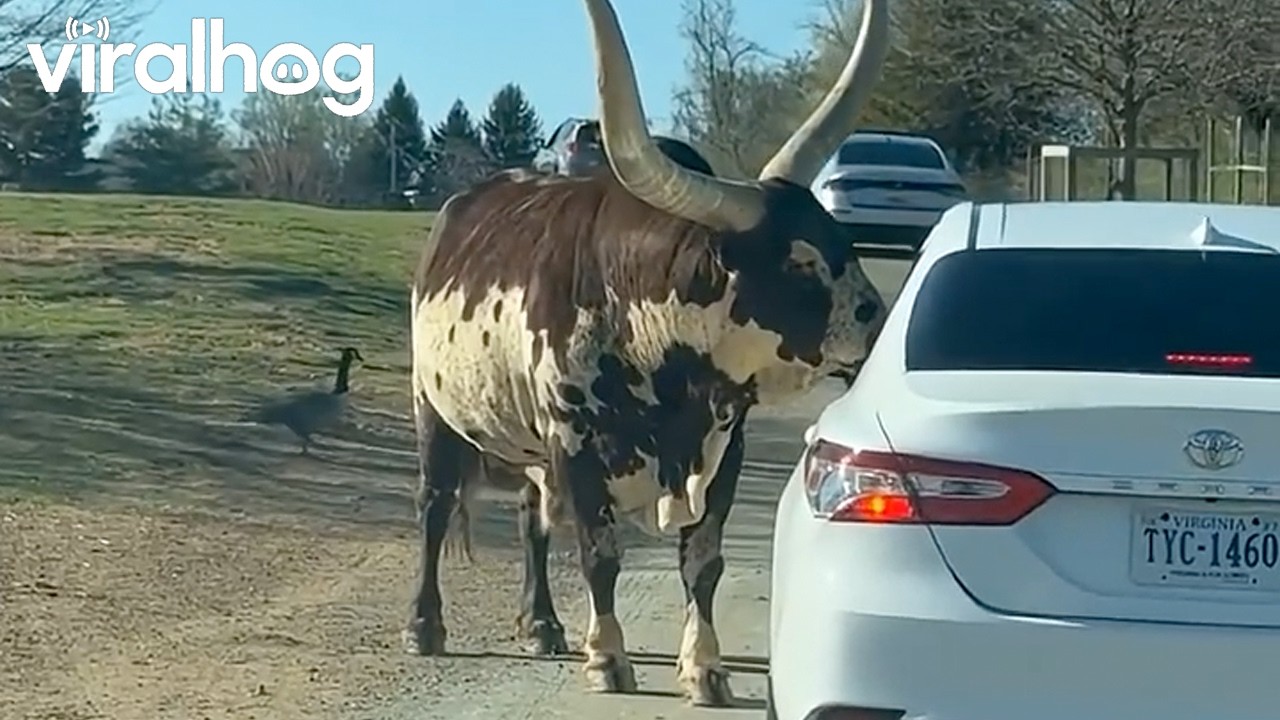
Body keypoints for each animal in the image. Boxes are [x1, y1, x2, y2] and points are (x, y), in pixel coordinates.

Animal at [404, 0, 891, 707]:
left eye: (841, 241)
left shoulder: (725, 448)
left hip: (528, 443)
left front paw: (705, 668)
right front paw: (608, 657)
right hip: (435, 410)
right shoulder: (575, 443)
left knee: (530, 518)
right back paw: (425, 625)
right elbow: (600, 554)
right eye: (798, 262)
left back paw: (542, 623)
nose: (879, 323)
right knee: (435, 505)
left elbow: (704, 561)